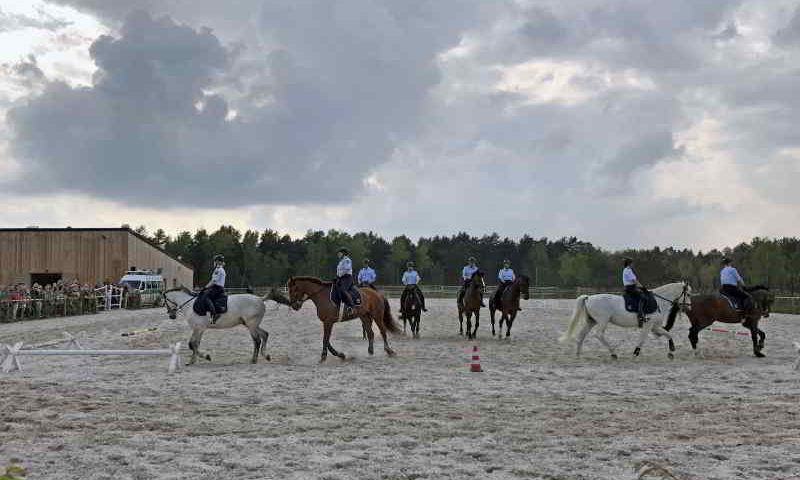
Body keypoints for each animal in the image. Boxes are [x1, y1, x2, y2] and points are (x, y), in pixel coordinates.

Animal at [560, 284, 692, 358]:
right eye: (689, 294)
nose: (689, 308)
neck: (659, 301)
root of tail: (588, 297)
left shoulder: (655, 326)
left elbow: (668, 334)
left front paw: (671, 351)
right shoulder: (648, 325)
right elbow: (642, 339)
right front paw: (635, 352)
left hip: (591, 321)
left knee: (582, 334)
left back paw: (578, 354)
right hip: (603, 321)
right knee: (599, 335)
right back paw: (613, 353)